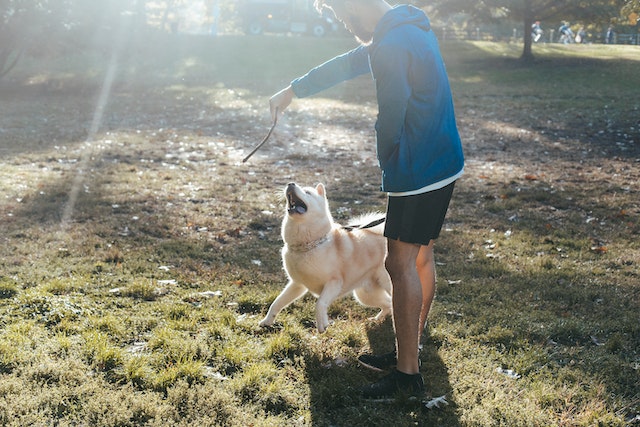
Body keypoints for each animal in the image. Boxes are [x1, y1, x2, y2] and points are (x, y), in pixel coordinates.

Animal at [258, 182, 390, 332]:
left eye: (308, 192)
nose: (290, 184)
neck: (308, 245)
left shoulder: (334, 282)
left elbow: (320, 303)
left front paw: (322, 324)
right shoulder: (297, 284)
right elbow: (277, 302)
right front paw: (267, 321)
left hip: (386, 284)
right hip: (365, 295)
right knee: (388, 304)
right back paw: (378, 319)